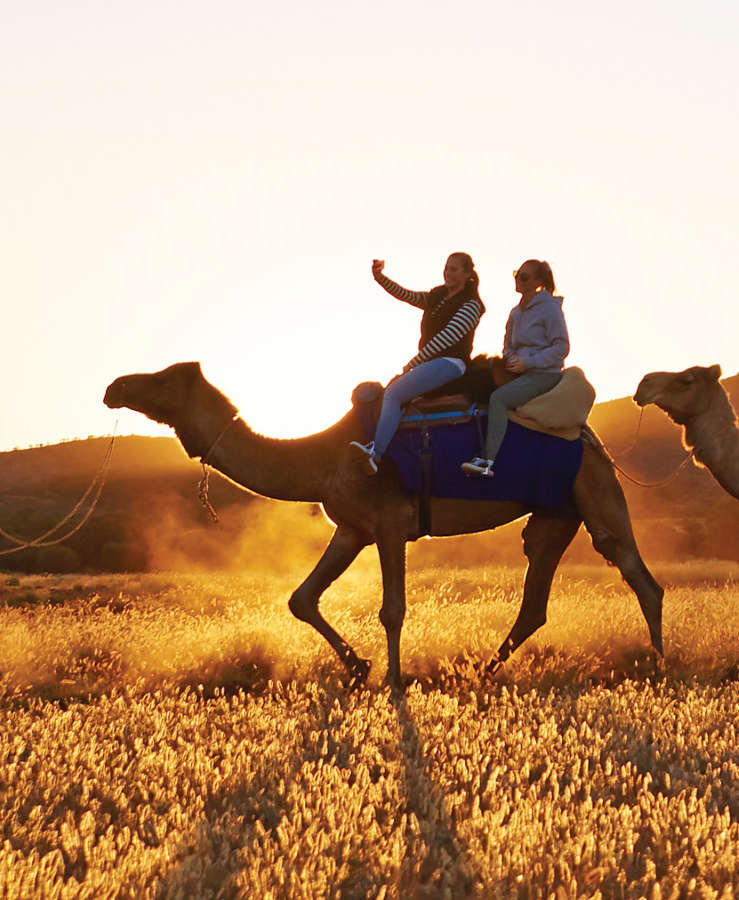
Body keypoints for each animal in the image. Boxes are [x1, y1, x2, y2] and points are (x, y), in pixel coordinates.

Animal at [104, 362, 664, 684]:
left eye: (162, 378)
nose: (114, 386)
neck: (323, 456)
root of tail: (591, 435)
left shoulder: (391, 523)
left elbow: (392, 608)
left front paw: (393, 679)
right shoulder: (352, 527)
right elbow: (302, 598)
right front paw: (359, 667)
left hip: (594, 488)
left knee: (638, 574)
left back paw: (658, 667)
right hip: (556, 513)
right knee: (535, 596)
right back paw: (483, 671)